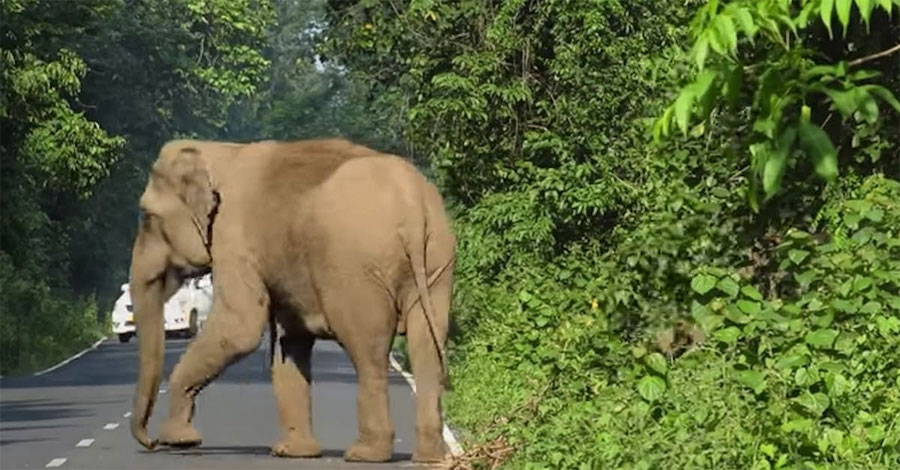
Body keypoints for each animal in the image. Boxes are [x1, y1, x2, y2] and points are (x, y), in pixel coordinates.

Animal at [126, 138, 458, 464]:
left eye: (147, 217)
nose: (150, 443)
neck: (218, 151)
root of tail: (412, 203)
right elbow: (289, 342)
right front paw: (292, 452)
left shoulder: (233, 237)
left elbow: (241, 328)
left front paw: (179, 441)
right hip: (436, 261)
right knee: (425, 348)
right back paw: (431, 457)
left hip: (355, 268)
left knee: (367, 350)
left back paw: (364, 455)